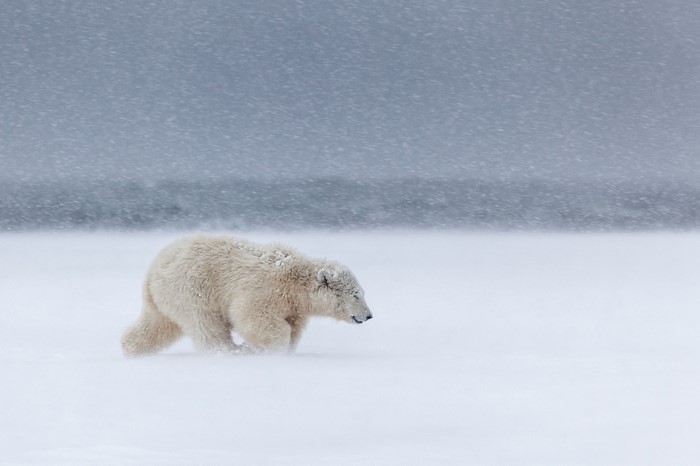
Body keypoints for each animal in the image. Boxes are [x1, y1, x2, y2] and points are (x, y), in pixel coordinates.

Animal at [121, 235, 373, 355]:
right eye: (356, 295)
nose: (369, 315)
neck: (294, 281)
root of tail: (154, 269)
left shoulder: (293, 306)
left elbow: (293, 326)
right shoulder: (263, 290)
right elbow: (251, 317)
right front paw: (271, 348)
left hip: (162, 298)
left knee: (157, 325)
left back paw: (130, 348)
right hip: (192, 287)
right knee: (206, 324)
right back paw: (233, 351)